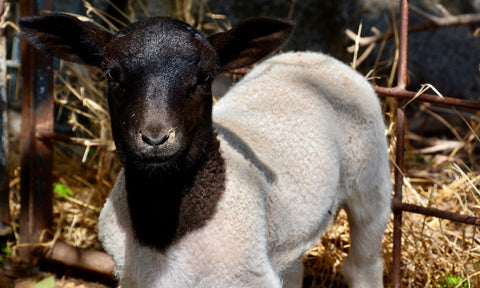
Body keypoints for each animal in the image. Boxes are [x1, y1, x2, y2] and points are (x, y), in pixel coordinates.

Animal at [20, 12, 392, 286]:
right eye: (112, 75)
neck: (164, 230)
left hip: (371, 179)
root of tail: (313, 56)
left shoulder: (245, 277)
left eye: (205, 77)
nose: (155, 138)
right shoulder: (134, 276)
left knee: (363, 264)